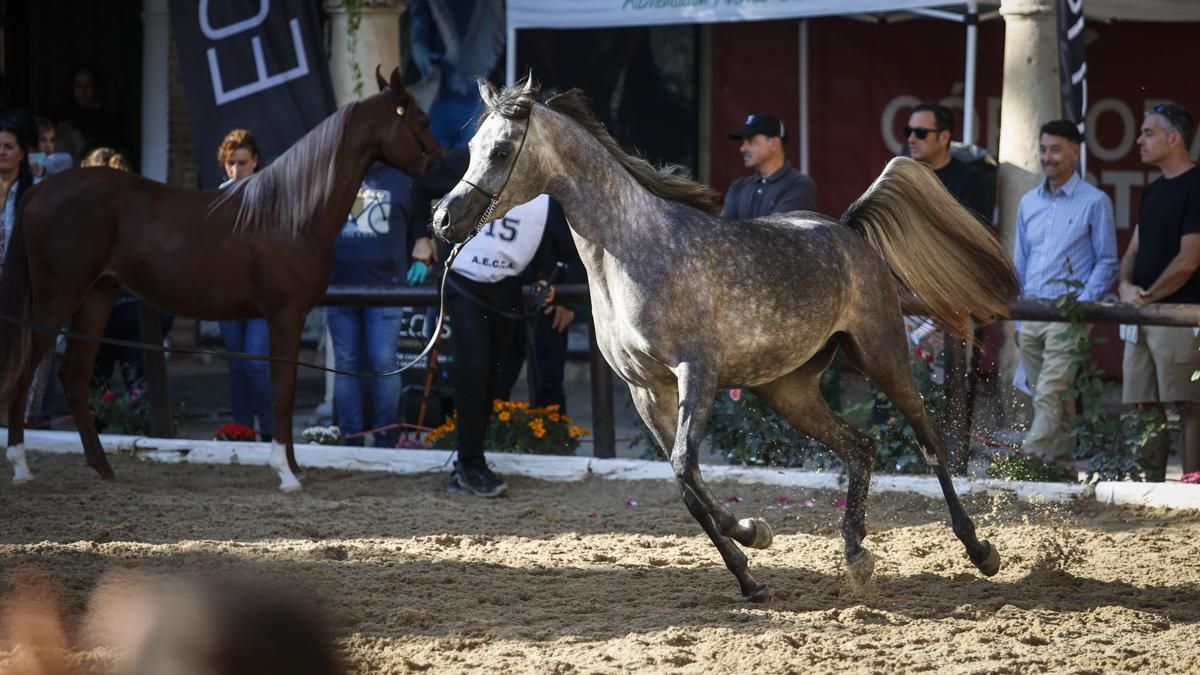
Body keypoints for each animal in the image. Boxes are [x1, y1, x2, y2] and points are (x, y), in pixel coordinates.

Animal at [0, 67, 443, 492]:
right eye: (421, 119)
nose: (442, 167)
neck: (292, 213)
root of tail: (39, 190)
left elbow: (283, 393)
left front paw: (294, 468)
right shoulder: (285, 315)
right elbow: (281, 391)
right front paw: (285, 473)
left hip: (97, 297)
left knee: (73, 375)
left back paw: (104, 468)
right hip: (55, 301)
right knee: (22, 376)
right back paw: (21, 467)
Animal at [432, 79, 1020, 602]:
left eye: (501, 149)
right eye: (471, 148)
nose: (443, 219)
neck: (635, 251)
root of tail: (849, 231)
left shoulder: (697, 371)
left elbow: (685, 466)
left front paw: (753, 534)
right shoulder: (645, 389)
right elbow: (685, 487)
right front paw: (749, 573)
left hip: (883, 354)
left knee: (928, 438)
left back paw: (980, 550)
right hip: (788, 390)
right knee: (861, 446)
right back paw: (856, 555)